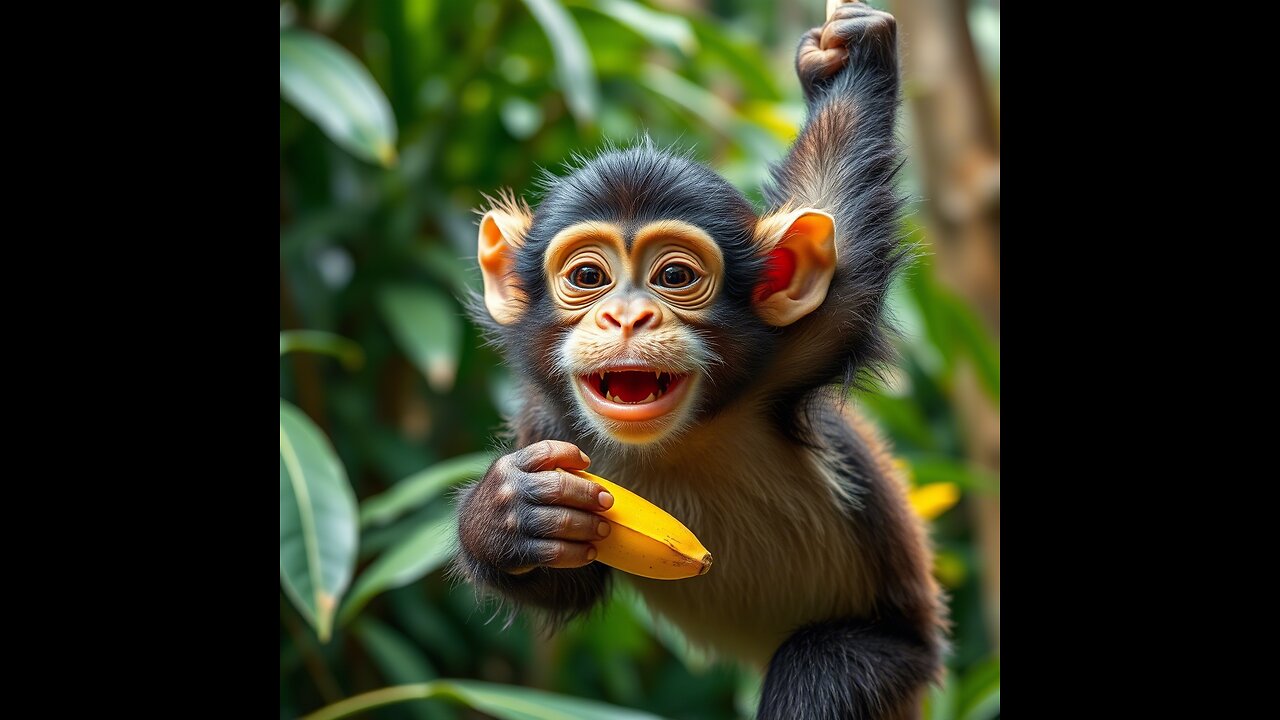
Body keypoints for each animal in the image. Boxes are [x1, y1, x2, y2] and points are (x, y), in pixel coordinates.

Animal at [452, 2, 946, 718]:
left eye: (675, 276)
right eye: (588, 276)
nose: (627, 317)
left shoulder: (794, 348)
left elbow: (842, 228)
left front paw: (844, 56)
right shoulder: (546, 421)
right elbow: (566, 578)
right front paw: (503, 513)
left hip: (897, 661)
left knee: (818, 668)